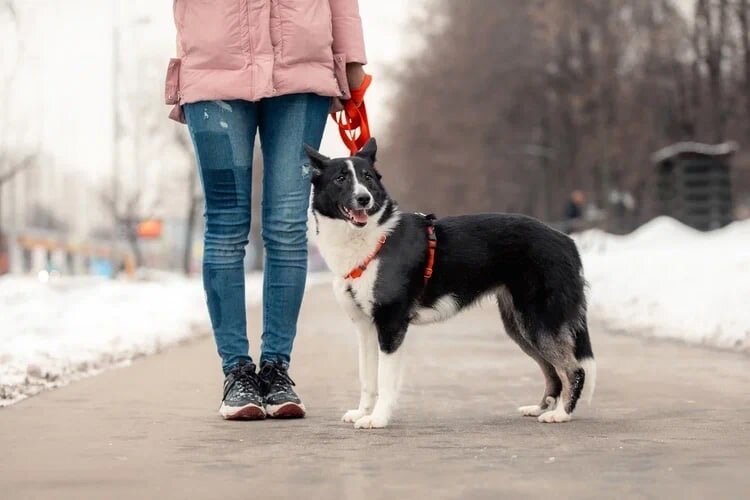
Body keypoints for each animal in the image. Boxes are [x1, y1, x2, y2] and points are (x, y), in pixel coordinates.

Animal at [306, 139, 600, 428]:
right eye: (340, 178)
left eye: (367, 177)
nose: (364, 198)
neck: (370, 236)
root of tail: (566, 240)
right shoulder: (366, 328)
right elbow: (367, 378)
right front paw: (362, 412)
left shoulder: (391, 325)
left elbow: (385, 379)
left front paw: (377, 419)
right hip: (519, 324)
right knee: (552, 370)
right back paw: (539, 408)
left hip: (539, 320)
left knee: (573, 369)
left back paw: (561, 414)